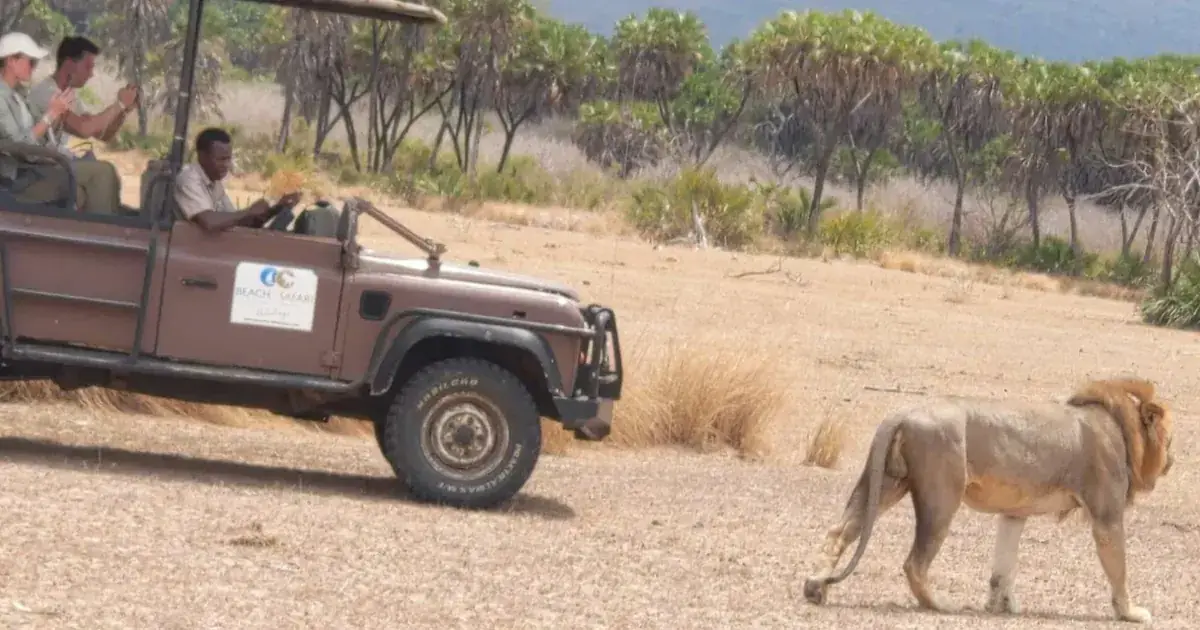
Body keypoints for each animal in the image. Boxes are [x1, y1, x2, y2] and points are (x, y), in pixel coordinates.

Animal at [801, 377, 1175, 624]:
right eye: (1170, 440)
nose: (1172, 460)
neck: (1122, 428)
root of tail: (904, 411)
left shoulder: (1014, 513)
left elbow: (1003, 564)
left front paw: (1001, 604)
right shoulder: (1106, 514)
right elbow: (1119, 568)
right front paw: (1131, 612)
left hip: (886, 483)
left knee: (839, 531)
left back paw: (815, 587)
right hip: (941, 495)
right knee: (915, 562)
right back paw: (942, 605)